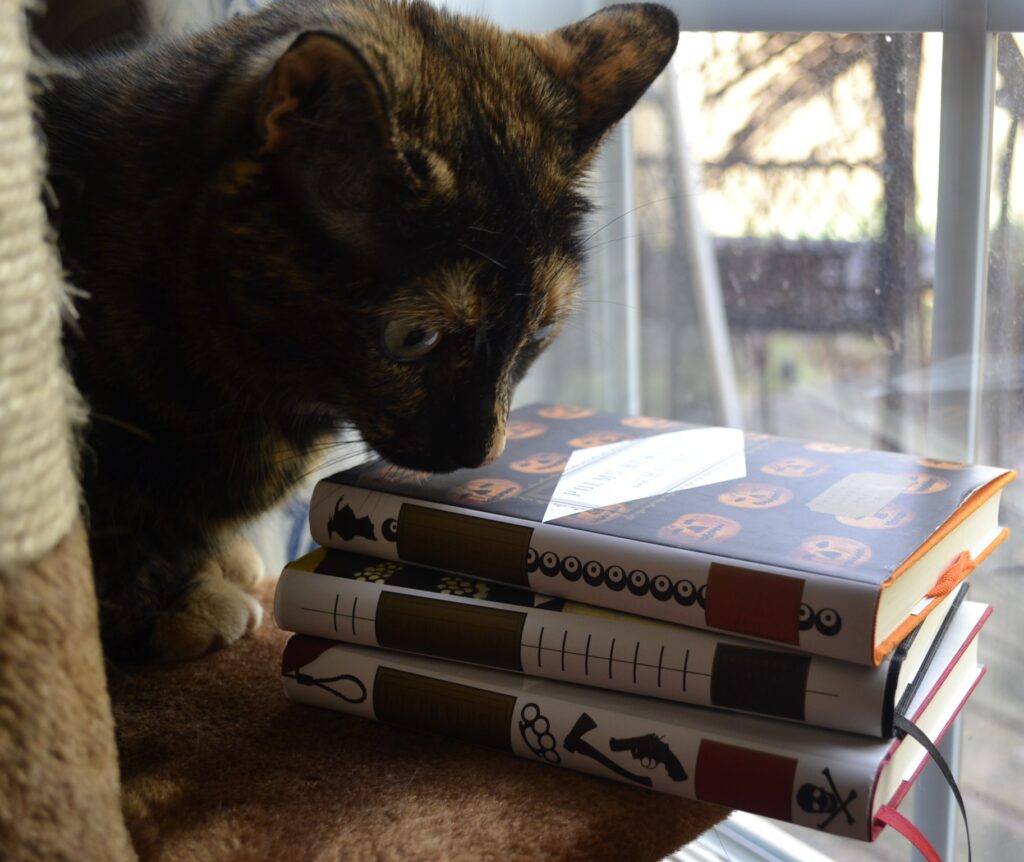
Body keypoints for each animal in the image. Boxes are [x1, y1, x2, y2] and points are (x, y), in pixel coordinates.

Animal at [41, 1, 679, 659]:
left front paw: (216, 562)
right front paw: (180, 602)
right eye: (415, 338)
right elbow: (111, 532)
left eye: (537, 332)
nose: (483, 451)